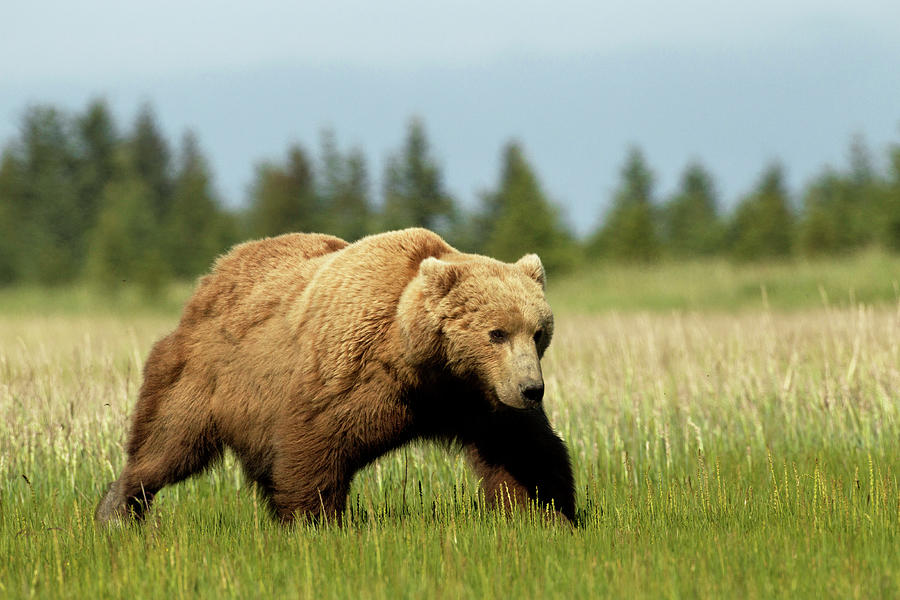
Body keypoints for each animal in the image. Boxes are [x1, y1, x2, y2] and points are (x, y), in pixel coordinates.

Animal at [95, 230, 572, 524]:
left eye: (537, 332)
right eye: (496, 332)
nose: (532, 389)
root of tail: (211, 275)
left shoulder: (477, 397)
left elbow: (526, 449)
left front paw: (549, 511)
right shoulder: (352, 374)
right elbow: (316, 444)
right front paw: (316, 521)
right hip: (205, 373)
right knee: (168, 441)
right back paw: (117, 508)